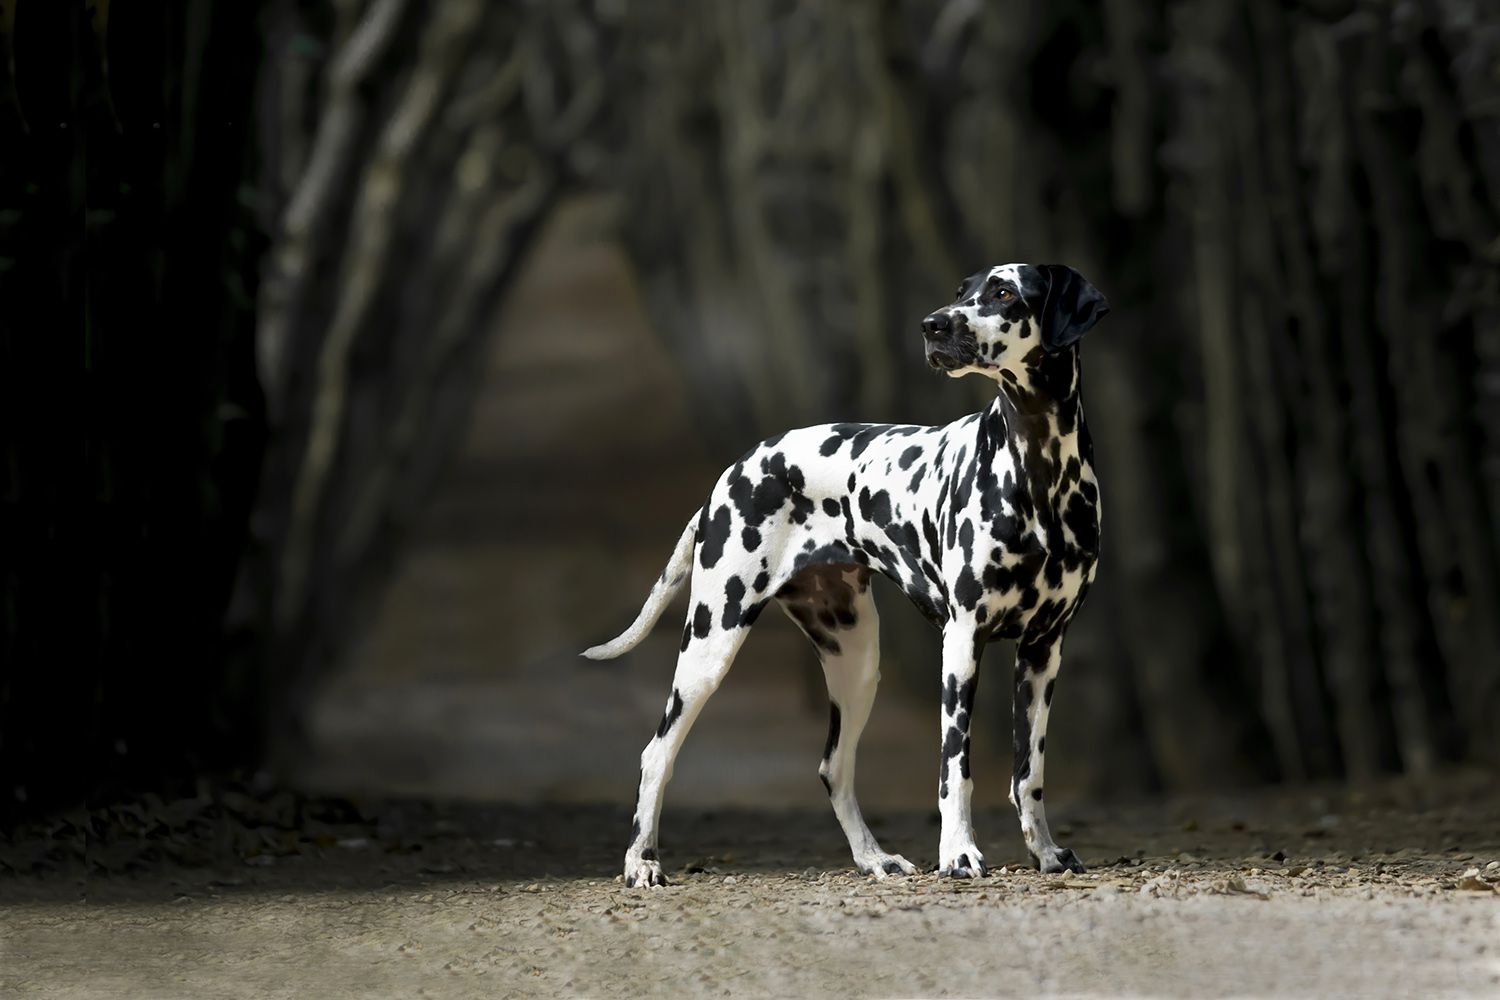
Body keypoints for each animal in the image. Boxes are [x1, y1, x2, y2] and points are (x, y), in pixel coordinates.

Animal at [579, 263, 1110, 881]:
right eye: (961, 292)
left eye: (1003, 292)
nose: (931, 325)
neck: (1039, 467)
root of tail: (732, 473)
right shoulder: (962, 641)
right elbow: (955, 770)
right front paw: (958, 853)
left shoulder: (1045, 651)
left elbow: (1030, 772)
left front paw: (1045, 851)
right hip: (711, 646)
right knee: (656, 754)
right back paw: (640, 861)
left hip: (856, 662)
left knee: (834, 768)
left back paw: (874, 857)